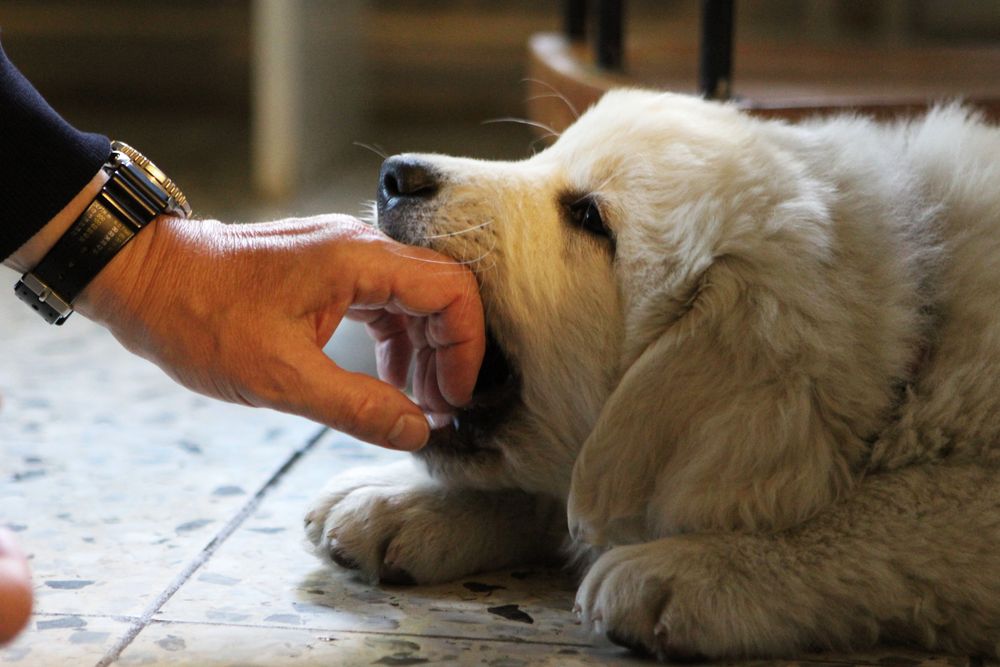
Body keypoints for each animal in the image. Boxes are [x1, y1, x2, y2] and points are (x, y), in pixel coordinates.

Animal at [304, 91, 1000, 660]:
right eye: (548, 154)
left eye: (590, 218)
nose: (396, 176)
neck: (920, 332)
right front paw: (398, 500)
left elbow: (903, 509)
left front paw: (700, 567)